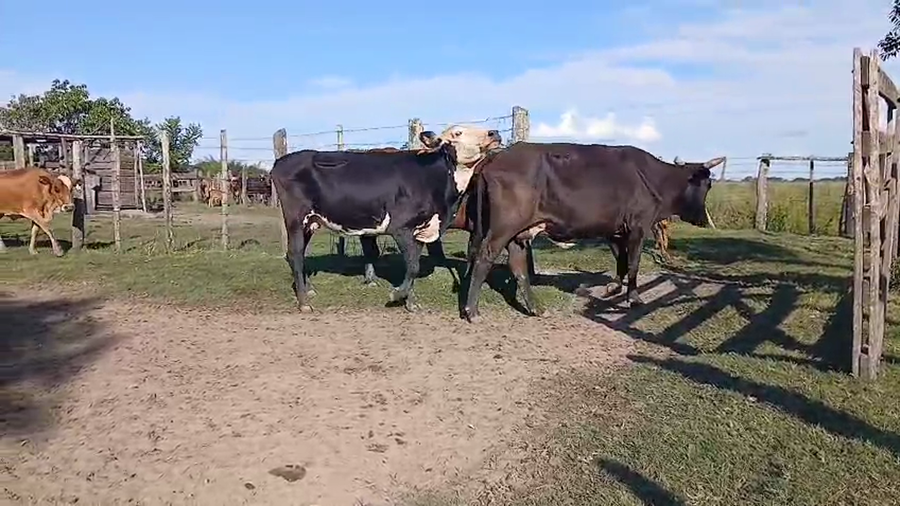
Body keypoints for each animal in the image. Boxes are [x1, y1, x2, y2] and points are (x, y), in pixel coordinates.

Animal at [271, 126, 502, 313]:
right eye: (458, 132)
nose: (494, 133)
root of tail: (281, 162)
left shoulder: (421, 229)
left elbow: (413, 265)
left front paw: (410, 302)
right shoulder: (401, 227)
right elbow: (413, 267)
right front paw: (397, 295)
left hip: (311, 222)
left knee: (300, 255)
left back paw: (308, 289)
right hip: (295, 218)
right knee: (294, 254)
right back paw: (303, 302)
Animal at [460, 142, 724, 322]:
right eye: (707, 184)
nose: (702, 219)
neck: (655, 178)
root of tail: (497, 157)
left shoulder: (615, 229)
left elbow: (621, 259)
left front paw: (614, 287)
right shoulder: (639, 226)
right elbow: (633, 263)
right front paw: (634, 298)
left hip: (519, 233)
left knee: (517, 265)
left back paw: (536, 308)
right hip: (504, 226)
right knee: (484, 256)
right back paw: (472, 311)